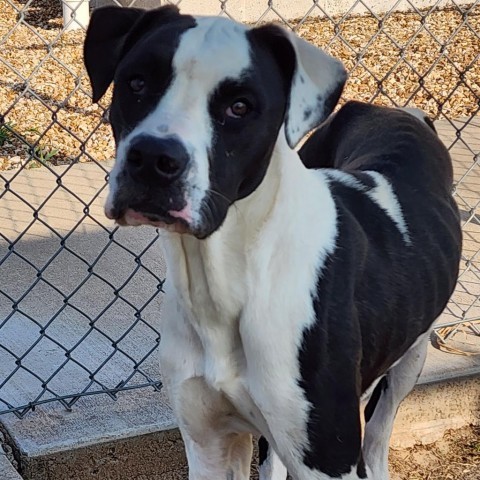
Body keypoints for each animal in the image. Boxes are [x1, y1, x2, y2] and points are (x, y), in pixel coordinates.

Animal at [84, 5, 464, 478]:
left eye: (239, 107)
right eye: (136, 83)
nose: (153, 158)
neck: (225, 283)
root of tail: (397, 112)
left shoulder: (327, 458)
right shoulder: (208, 446)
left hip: (409, 360)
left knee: (378, 438)